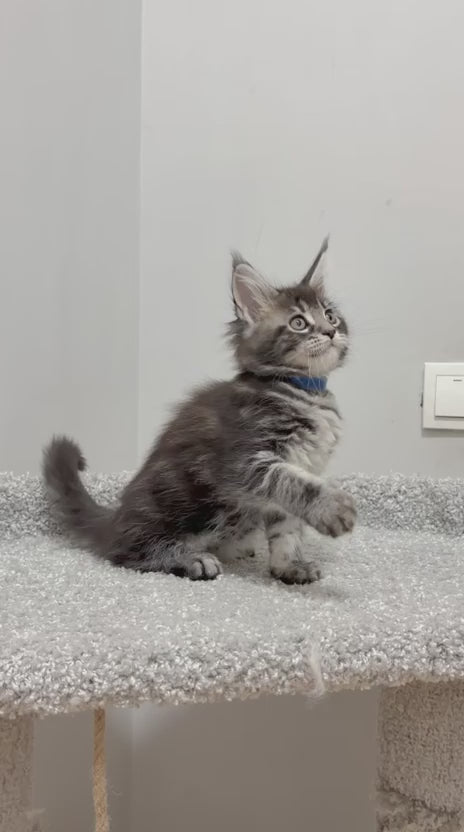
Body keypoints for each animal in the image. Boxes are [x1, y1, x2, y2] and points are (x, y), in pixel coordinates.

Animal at [43, 238, 356, 584]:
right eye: (298, 323)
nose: (330, 331)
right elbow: (291, 482)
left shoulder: (298, 469)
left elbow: (287, 528)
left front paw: (290, 566)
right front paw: (333, 507)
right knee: (127, 552)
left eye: (330, 315)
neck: (306, 392)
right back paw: (190, 559)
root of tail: (114, 520)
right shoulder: (245, 461)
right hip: (187, 506)